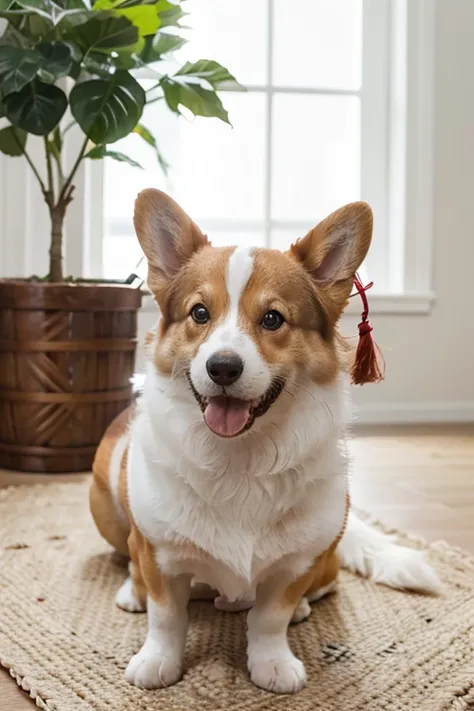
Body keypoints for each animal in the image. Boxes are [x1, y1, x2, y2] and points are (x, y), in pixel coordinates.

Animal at [91, 189, 440, 696]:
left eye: (273, 319)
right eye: (199, 313)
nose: (222, 367)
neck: (240, 459)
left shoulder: (295, 565)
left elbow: (270, 618)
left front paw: (272, 664)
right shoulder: (160, 555)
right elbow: (166, 616)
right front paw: (157, 662)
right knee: (134, 566)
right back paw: (132, 593)